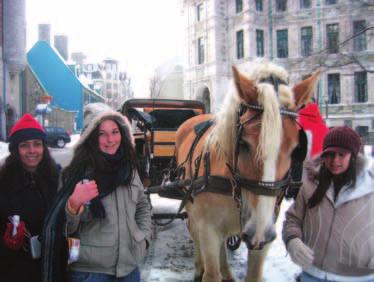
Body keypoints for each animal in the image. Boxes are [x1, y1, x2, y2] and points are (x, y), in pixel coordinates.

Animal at [175, 62, 318, 282]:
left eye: (296, 149)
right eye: (243, 143)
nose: (258, 230)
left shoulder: (265, 234)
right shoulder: (208, 229)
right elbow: (211, 271)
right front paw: (206, 270)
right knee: (194, 232)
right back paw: (199, 268)